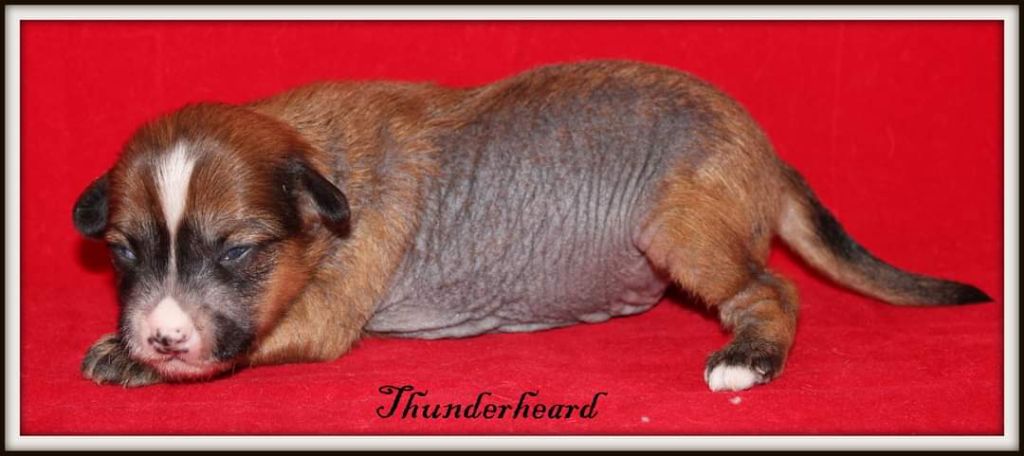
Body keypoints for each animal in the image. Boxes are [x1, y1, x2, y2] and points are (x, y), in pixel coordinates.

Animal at [73, 60, 990, 391]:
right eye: (122, 253)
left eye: (238, 252)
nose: (159, 335)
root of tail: (766, 151)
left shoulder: (322, 315)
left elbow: (245, 344)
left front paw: (134, 358)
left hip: (682, 224)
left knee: (773, 292)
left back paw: (749, 358)